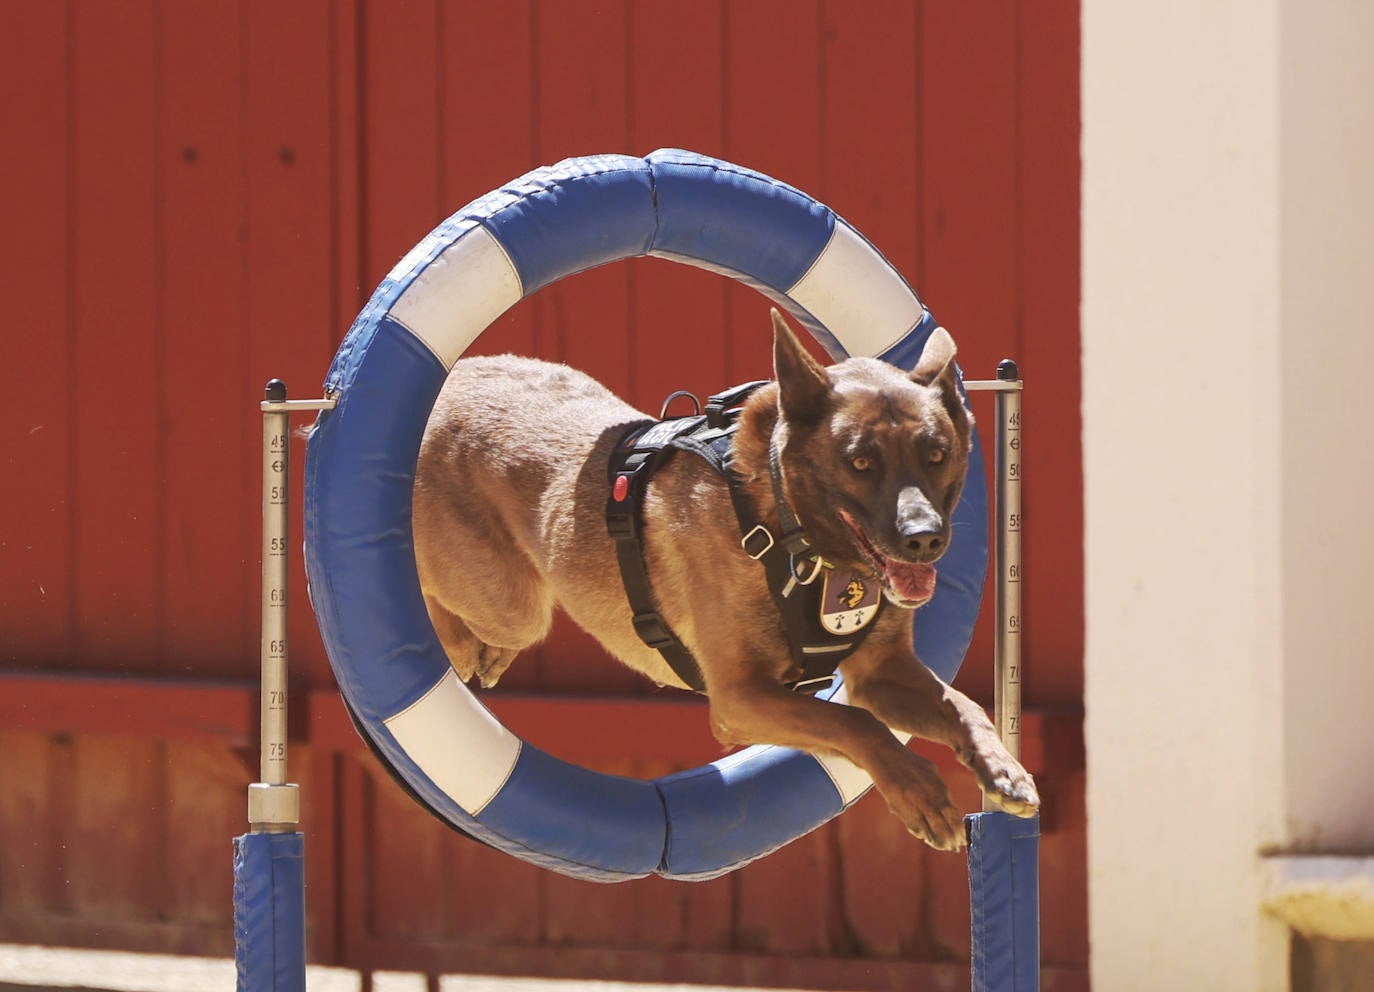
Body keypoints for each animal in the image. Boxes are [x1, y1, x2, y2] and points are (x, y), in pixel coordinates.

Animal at [412, 310, 1033, 851]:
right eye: (860, 462)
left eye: (937, 454)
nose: (924, 539)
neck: (790, 531)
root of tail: (453, 379)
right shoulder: (740, 697)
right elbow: (856, 723)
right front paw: (920, 793)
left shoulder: (882, 673)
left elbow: (962, 707)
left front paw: (1003, 768)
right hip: (511, 604)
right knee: (440, 599)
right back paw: (460, 645)